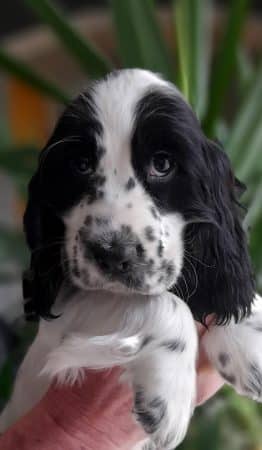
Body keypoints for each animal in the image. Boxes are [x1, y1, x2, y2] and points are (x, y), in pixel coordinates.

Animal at [0, 69, 260, 450]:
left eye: (163, 164)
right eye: (80, 165)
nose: (112, 253)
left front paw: (249, 343)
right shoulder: (66, 327)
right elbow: (161, 302)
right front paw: (168, 397)